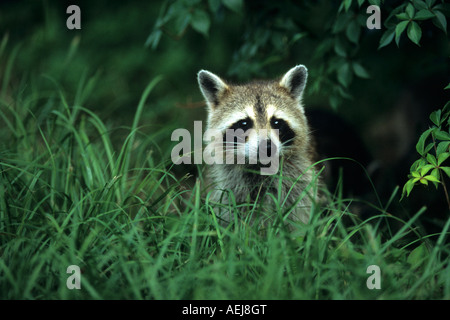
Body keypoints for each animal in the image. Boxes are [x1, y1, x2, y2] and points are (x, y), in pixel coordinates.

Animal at [198, 64, 320, 225]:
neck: (259, 166)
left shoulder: (299, 180)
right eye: (244, 123)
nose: (267, 148)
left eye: (276, 123)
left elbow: (298, 214)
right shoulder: (228, 184)